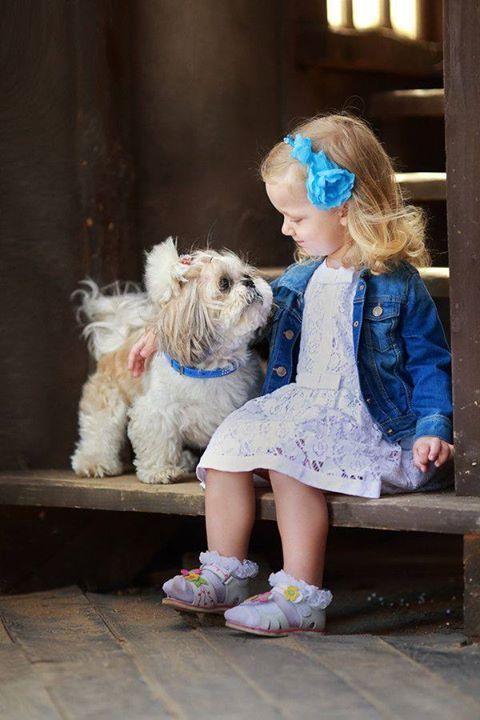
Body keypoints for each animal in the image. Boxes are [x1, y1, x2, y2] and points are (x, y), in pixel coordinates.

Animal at [71, 238, 274, 484]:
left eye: (247, 274)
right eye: (224, 283)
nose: (250, 281)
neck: (211, 370)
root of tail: (118, 341)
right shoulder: (156, 412)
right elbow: (158, 441)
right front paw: (161, 471)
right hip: (108, 401)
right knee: (100, 432)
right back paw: (94, 463)